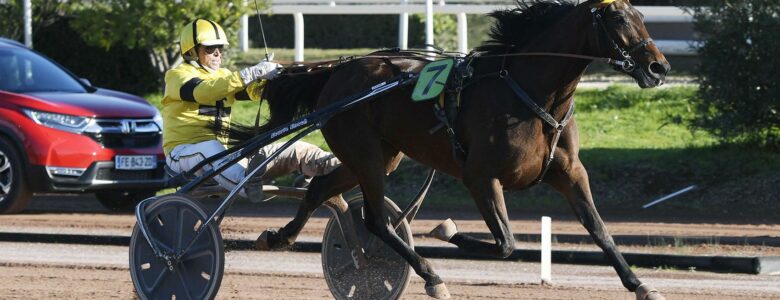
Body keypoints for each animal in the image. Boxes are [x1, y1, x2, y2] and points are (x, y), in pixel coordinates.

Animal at [229, 0, 668, 300]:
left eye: (641, 14)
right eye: (617, 18)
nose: (659, 67)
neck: (531, 92)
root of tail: (335, 72)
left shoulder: (570, 173)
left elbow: (601, 231)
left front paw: (640, 284)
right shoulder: (480, 176)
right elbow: (506, 243)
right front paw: (448, 231)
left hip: (379, 156)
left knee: (322, 190)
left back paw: (279, 237)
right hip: (365, 153)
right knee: (377, 221)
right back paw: (432, 276)